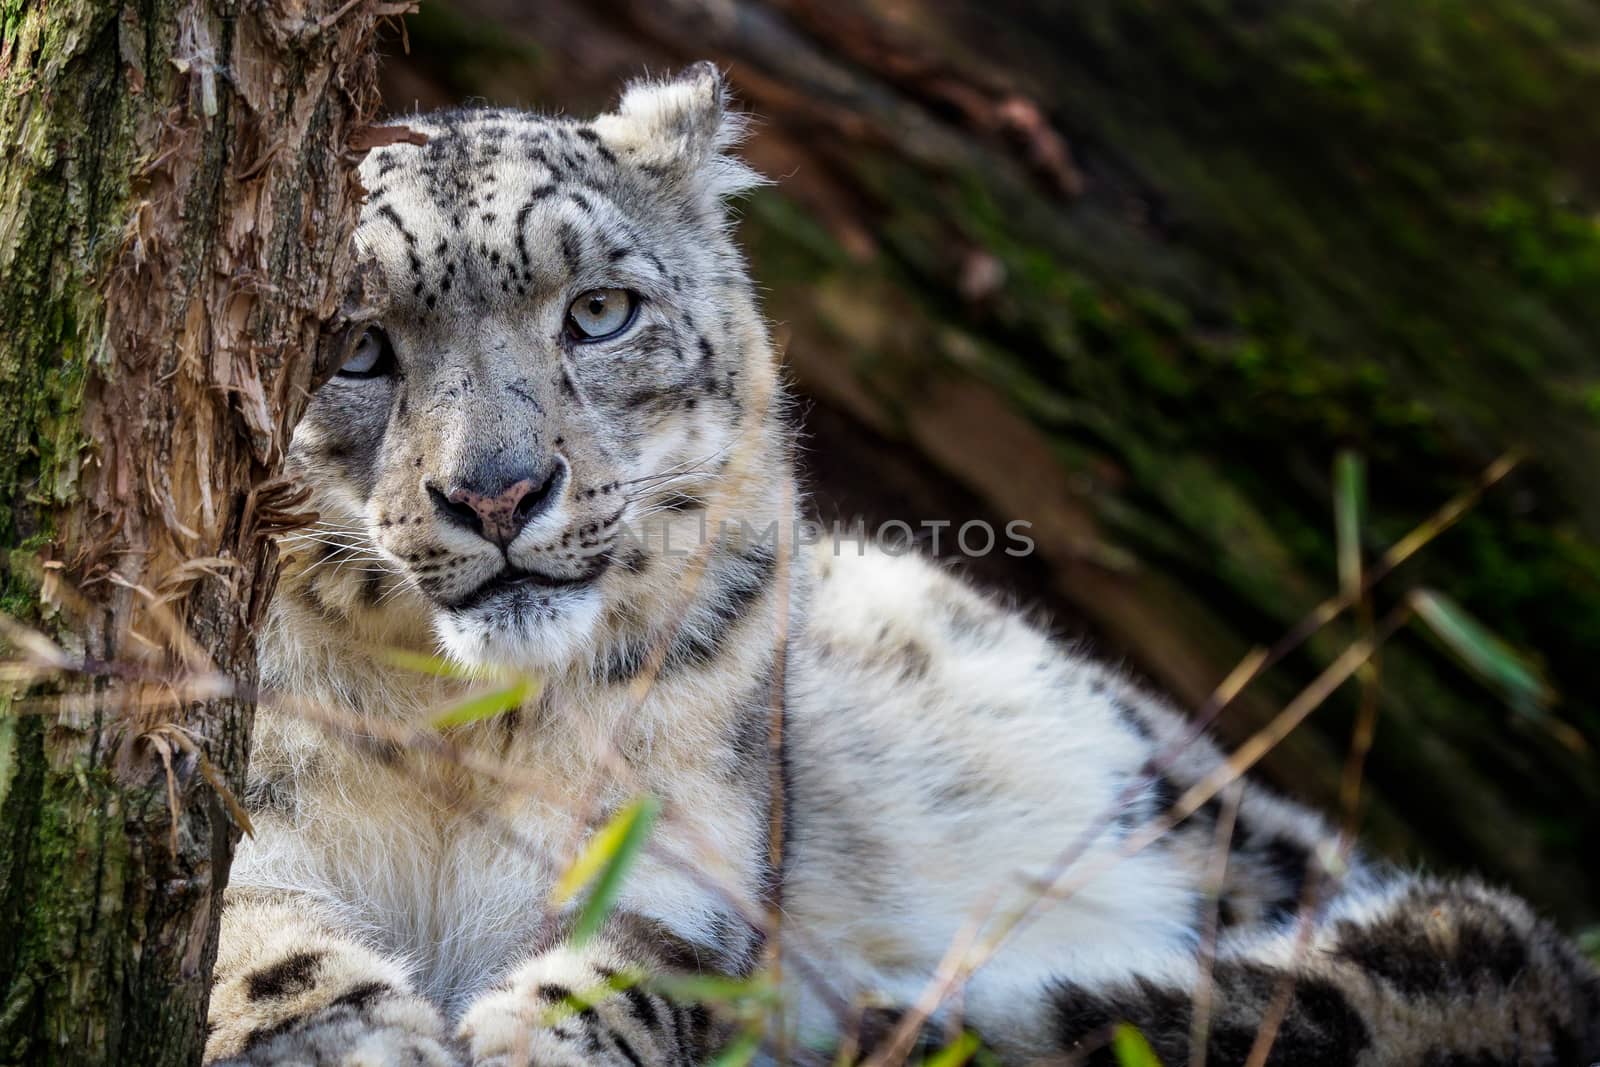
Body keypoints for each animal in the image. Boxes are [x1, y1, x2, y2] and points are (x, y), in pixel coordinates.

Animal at [209, 62, 1600, 1062]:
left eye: (598, 310)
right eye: (353, 346)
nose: (498, 490)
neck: (462, 731)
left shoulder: (692, 831)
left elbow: (645, 964)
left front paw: (543, 1038)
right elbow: (254, 942)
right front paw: (355, 1039)